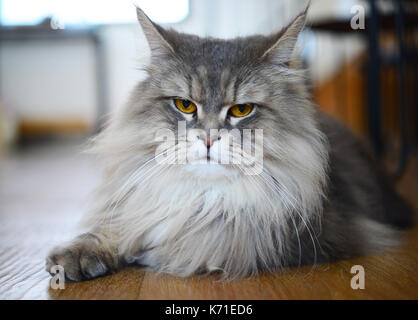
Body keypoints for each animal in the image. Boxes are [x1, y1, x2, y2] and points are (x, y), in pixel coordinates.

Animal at [45, 5, 412, 280]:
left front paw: (149, 253)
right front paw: (81, 254)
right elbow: (123, 225)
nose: (209, 136)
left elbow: (188, 241)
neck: (205, 199)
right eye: (185, 105)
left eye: (241, 110)